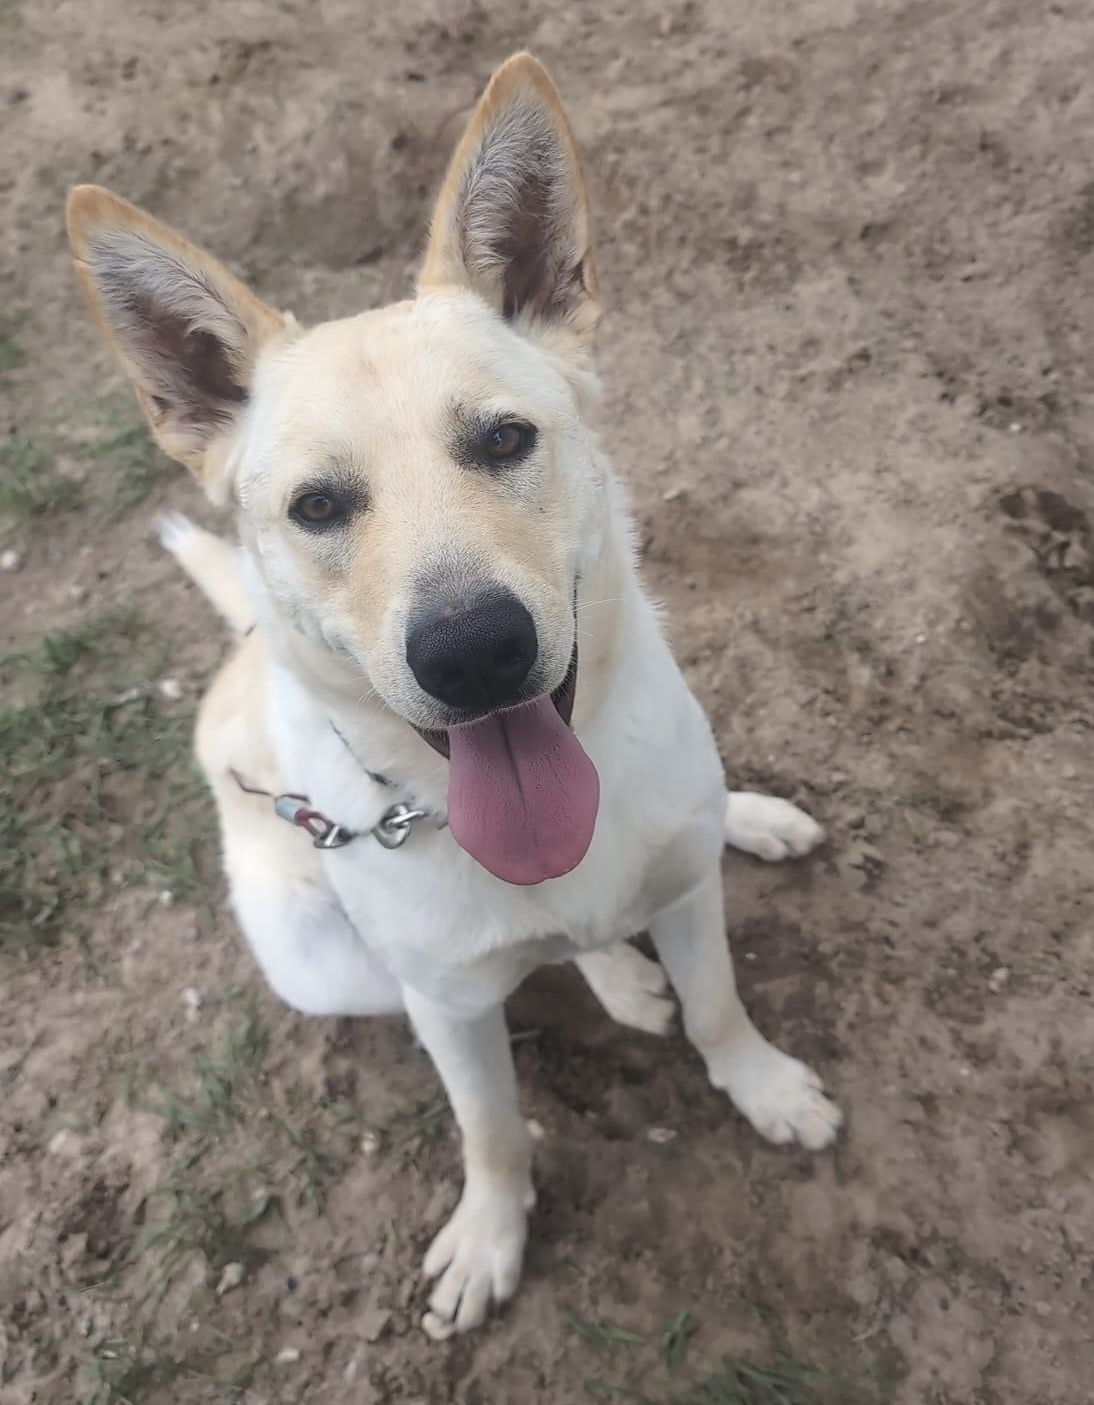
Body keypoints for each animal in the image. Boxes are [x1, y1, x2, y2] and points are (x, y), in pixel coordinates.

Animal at [66, 46, 837, 1337]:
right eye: (318, 506)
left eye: (502, 439)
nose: (471, 652)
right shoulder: (446, 1009)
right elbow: (491, 1128)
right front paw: (491, 1234)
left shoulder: (688, 899)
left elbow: (720, 1004)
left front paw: (762, 1085)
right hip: (321, 964)